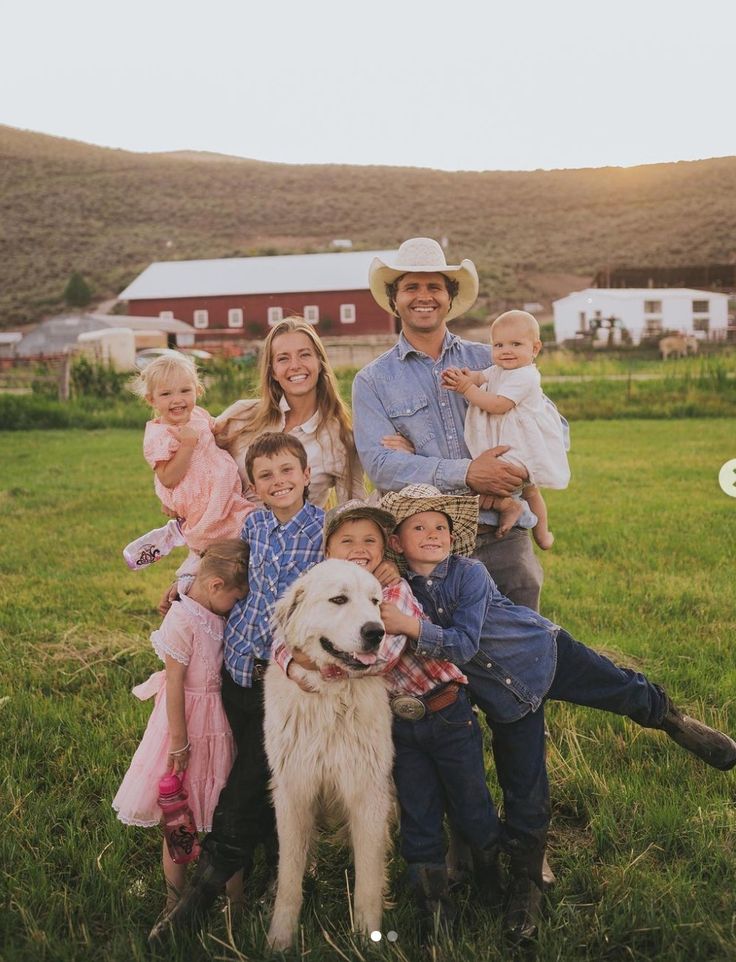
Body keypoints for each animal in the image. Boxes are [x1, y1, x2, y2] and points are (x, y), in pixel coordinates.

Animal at [262, 560, 394, 948]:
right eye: (338, 599)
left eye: (375, 601)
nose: (376, 632)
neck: (330, 697)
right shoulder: (293, 791)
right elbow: (289, 872)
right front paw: (280, 937)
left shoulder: (369, 793)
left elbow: (368, 876)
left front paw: (368, 937)